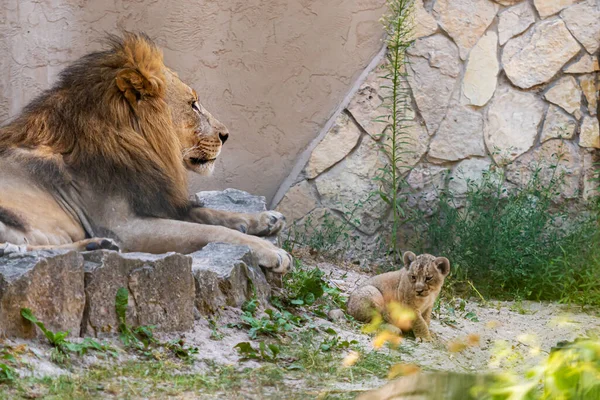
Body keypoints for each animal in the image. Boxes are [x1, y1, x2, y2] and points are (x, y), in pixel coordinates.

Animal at [0, 33, 290, 276]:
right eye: (193, 105)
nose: (226, 135)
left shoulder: (155, 199)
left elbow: (209, 213)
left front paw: (264, 219)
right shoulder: (125, 227)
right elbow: (210, 230)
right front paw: (270, 250)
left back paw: (96, 246)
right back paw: (96, 245)